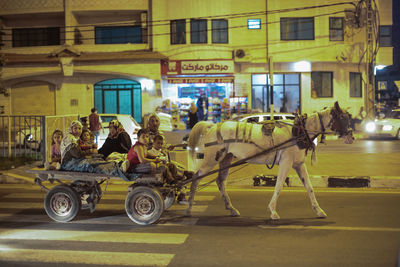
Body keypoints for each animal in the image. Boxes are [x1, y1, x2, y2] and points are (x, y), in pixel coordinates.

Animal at [184, 101, 354, 221]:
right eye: (342, 118)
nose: (352, 137)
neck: (299, 131)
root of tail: (213, 126)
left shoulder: (298, 164)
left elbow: (309, 187)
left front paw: (318, 210)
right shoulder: (286, 163)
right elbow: (279, 185)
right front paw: (272, 211)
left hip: (226, 158)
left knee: (220, 181)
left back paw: (231, 208)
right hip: (211, 159)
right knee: (196, 177)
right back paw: (189, 208)